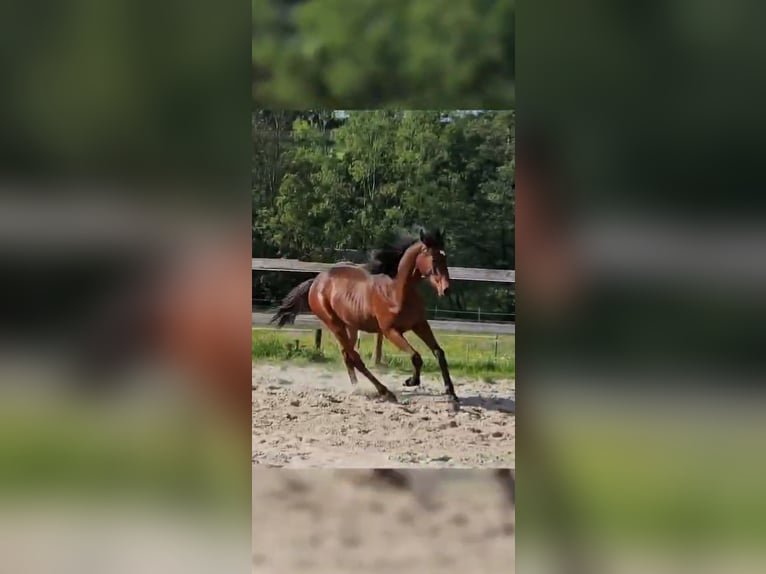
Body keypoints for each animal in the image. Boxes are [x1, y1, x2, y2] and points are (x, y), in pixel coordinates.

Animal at [272, 228, 460, 404]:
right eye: (434, 259)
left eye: (445, 258)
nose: (446, 289)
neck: (396, 292)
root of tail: (316, 281)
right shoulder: (390, 331)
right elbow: (416, 356)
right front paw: (410, 381)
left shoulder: (420, 324)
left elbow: (439, 352)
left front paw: (451, 394)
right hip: (334, 324)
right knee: (355, 357)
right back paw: (384, 392)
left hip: (351, 326)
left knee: (347, 355)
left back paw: (356, 387)